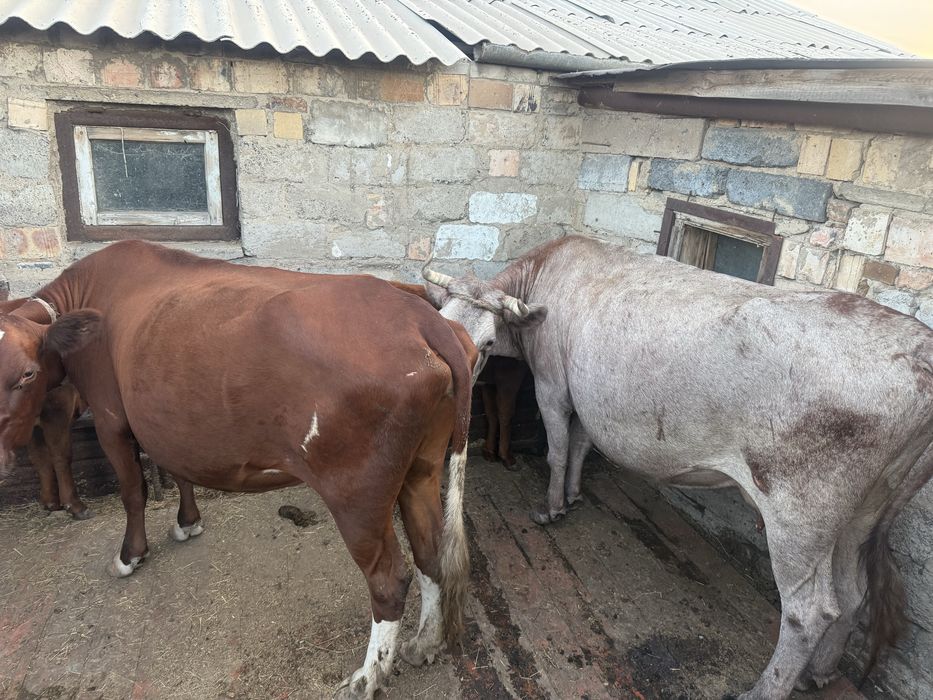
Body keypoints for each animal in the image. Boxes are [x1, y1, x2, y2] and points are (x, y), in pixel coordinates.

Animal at [0, 298, 91, 518]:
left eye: (28, 373)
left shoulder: (56, 406)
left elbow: (59, 454)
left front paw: (72, 504)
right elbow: (40, 458)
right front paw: (53, 501)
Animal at [423, 234, 933, 699]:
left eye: (488, 340)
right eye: (440, 325)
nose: (455, 388)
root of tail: (919, 348)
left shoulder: (552, 386)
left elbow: (559, 450)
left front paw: (552, 508)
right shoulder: (591, 400)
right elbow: (582, 446)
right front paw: (573, 494)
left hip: (801, 516)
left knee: (810, 611)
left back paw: (764, 690)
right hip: (863, 513)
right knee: (853, 594)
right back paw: (819, 673)